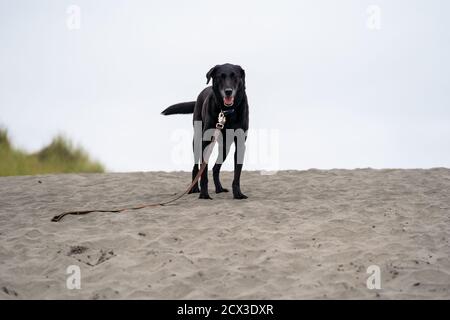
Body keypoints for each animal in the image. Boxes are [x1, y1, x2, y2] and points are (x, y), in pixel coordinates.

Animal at [161, 63, 250, 199]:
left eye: (235, 76)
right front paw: (204, 194)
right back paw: (194, 189)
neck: (226, 112)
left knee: (215, 168)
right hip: (196, 140)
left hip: (225, 147)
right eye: (220, 76)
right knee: (196, 167)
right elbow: (203, 172)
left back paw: (219, 189)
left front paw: (238, 194)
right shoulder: (205, 141)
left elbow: (237, 173)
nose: (228, 91)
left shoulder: (240, 143)